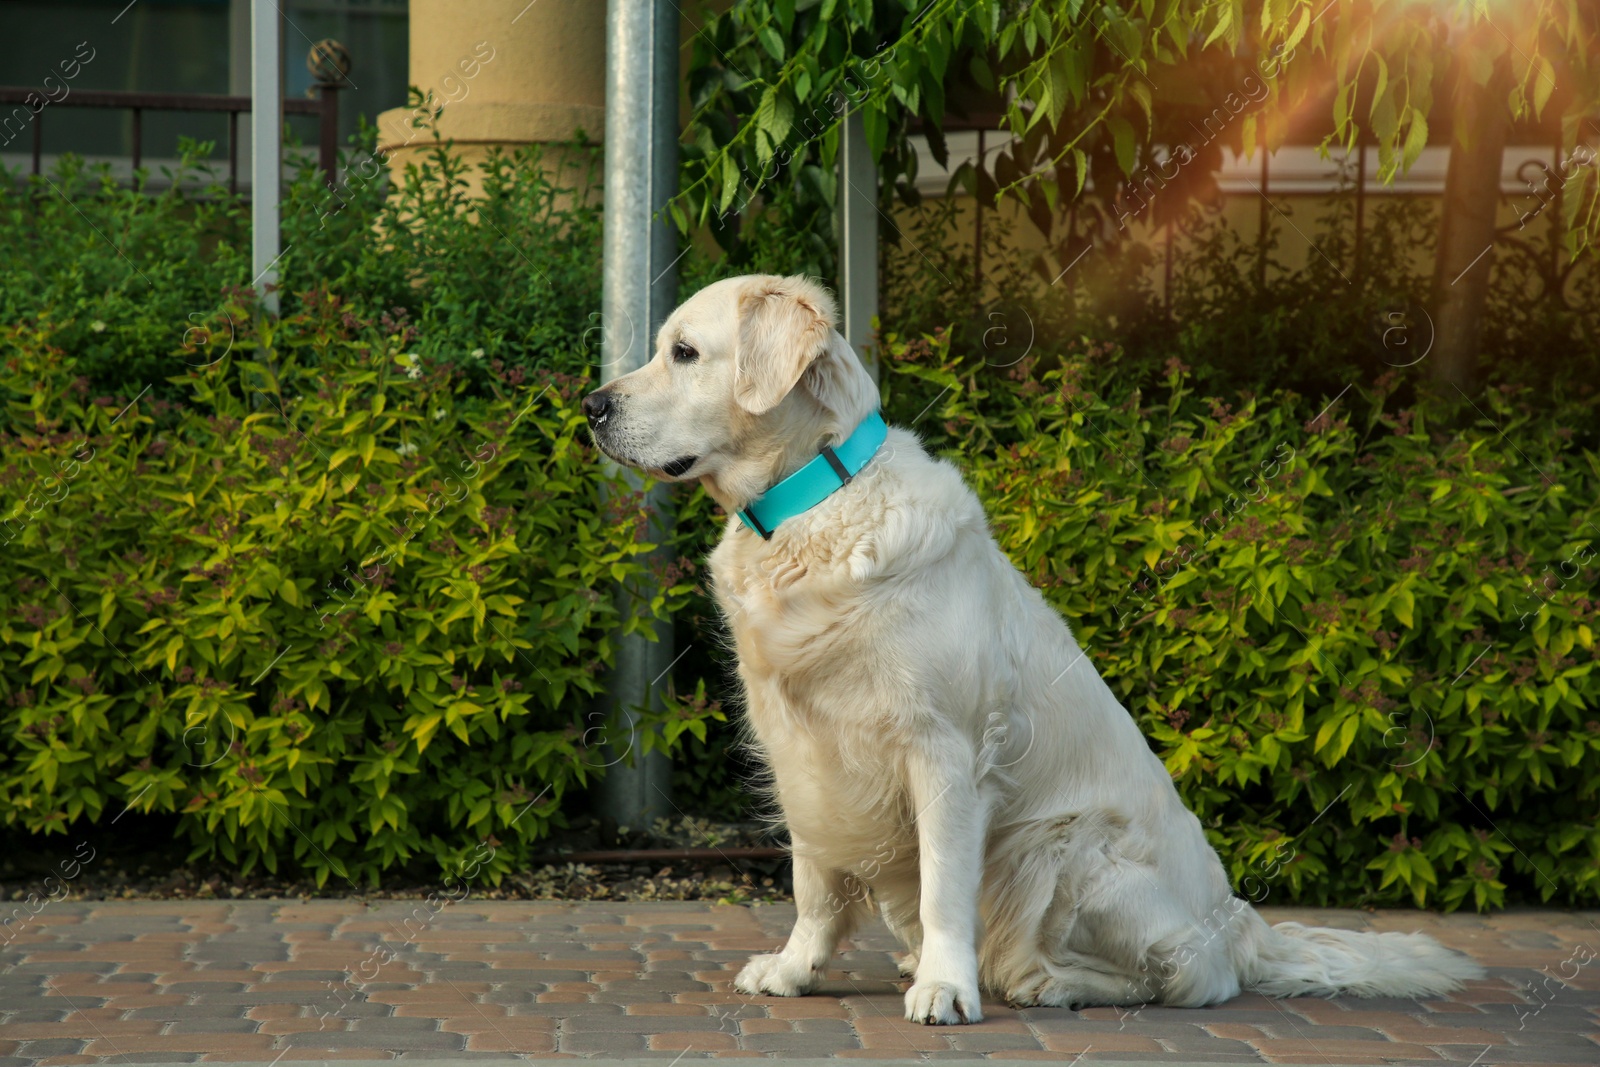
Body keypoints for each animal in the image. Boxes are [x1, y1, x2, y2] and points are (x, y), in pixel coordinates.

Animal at [582, 275, 1478, 1023]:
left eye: (685, 352)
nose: (591, 405)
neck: (815, 503)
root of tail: (1239, 922)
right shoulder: (799, 749)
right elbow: (814, 880)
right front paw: (796, 967)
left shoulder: (944, 750)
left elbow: (945, 887)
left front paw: (946, 986)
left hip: (1066, 848)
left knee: (1185, 978)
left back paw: (1044, 980)